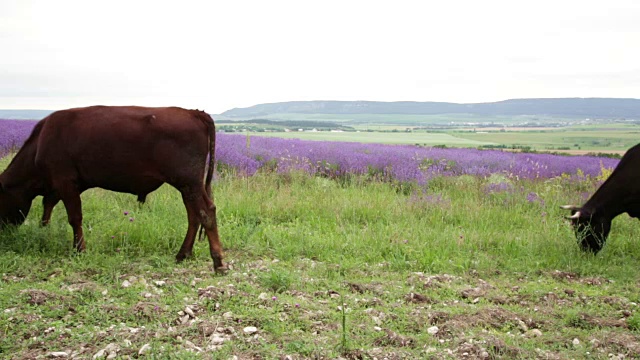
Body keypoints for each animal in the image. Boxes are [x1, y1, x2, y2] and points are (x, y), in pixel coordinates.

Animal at [0, 106, 228, 272]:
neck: (41, 142)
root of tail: (194, 112)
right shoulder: (60, 187)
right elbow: (48, 207)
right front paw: (45, 231)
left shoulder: (65, 182)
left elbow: (74, 217)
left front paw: (79, 250)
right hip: (187, 187)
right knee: (193, 216)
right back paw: (183, 254)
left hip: (190, 183)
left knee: (206, 212)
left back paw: (218, 262)